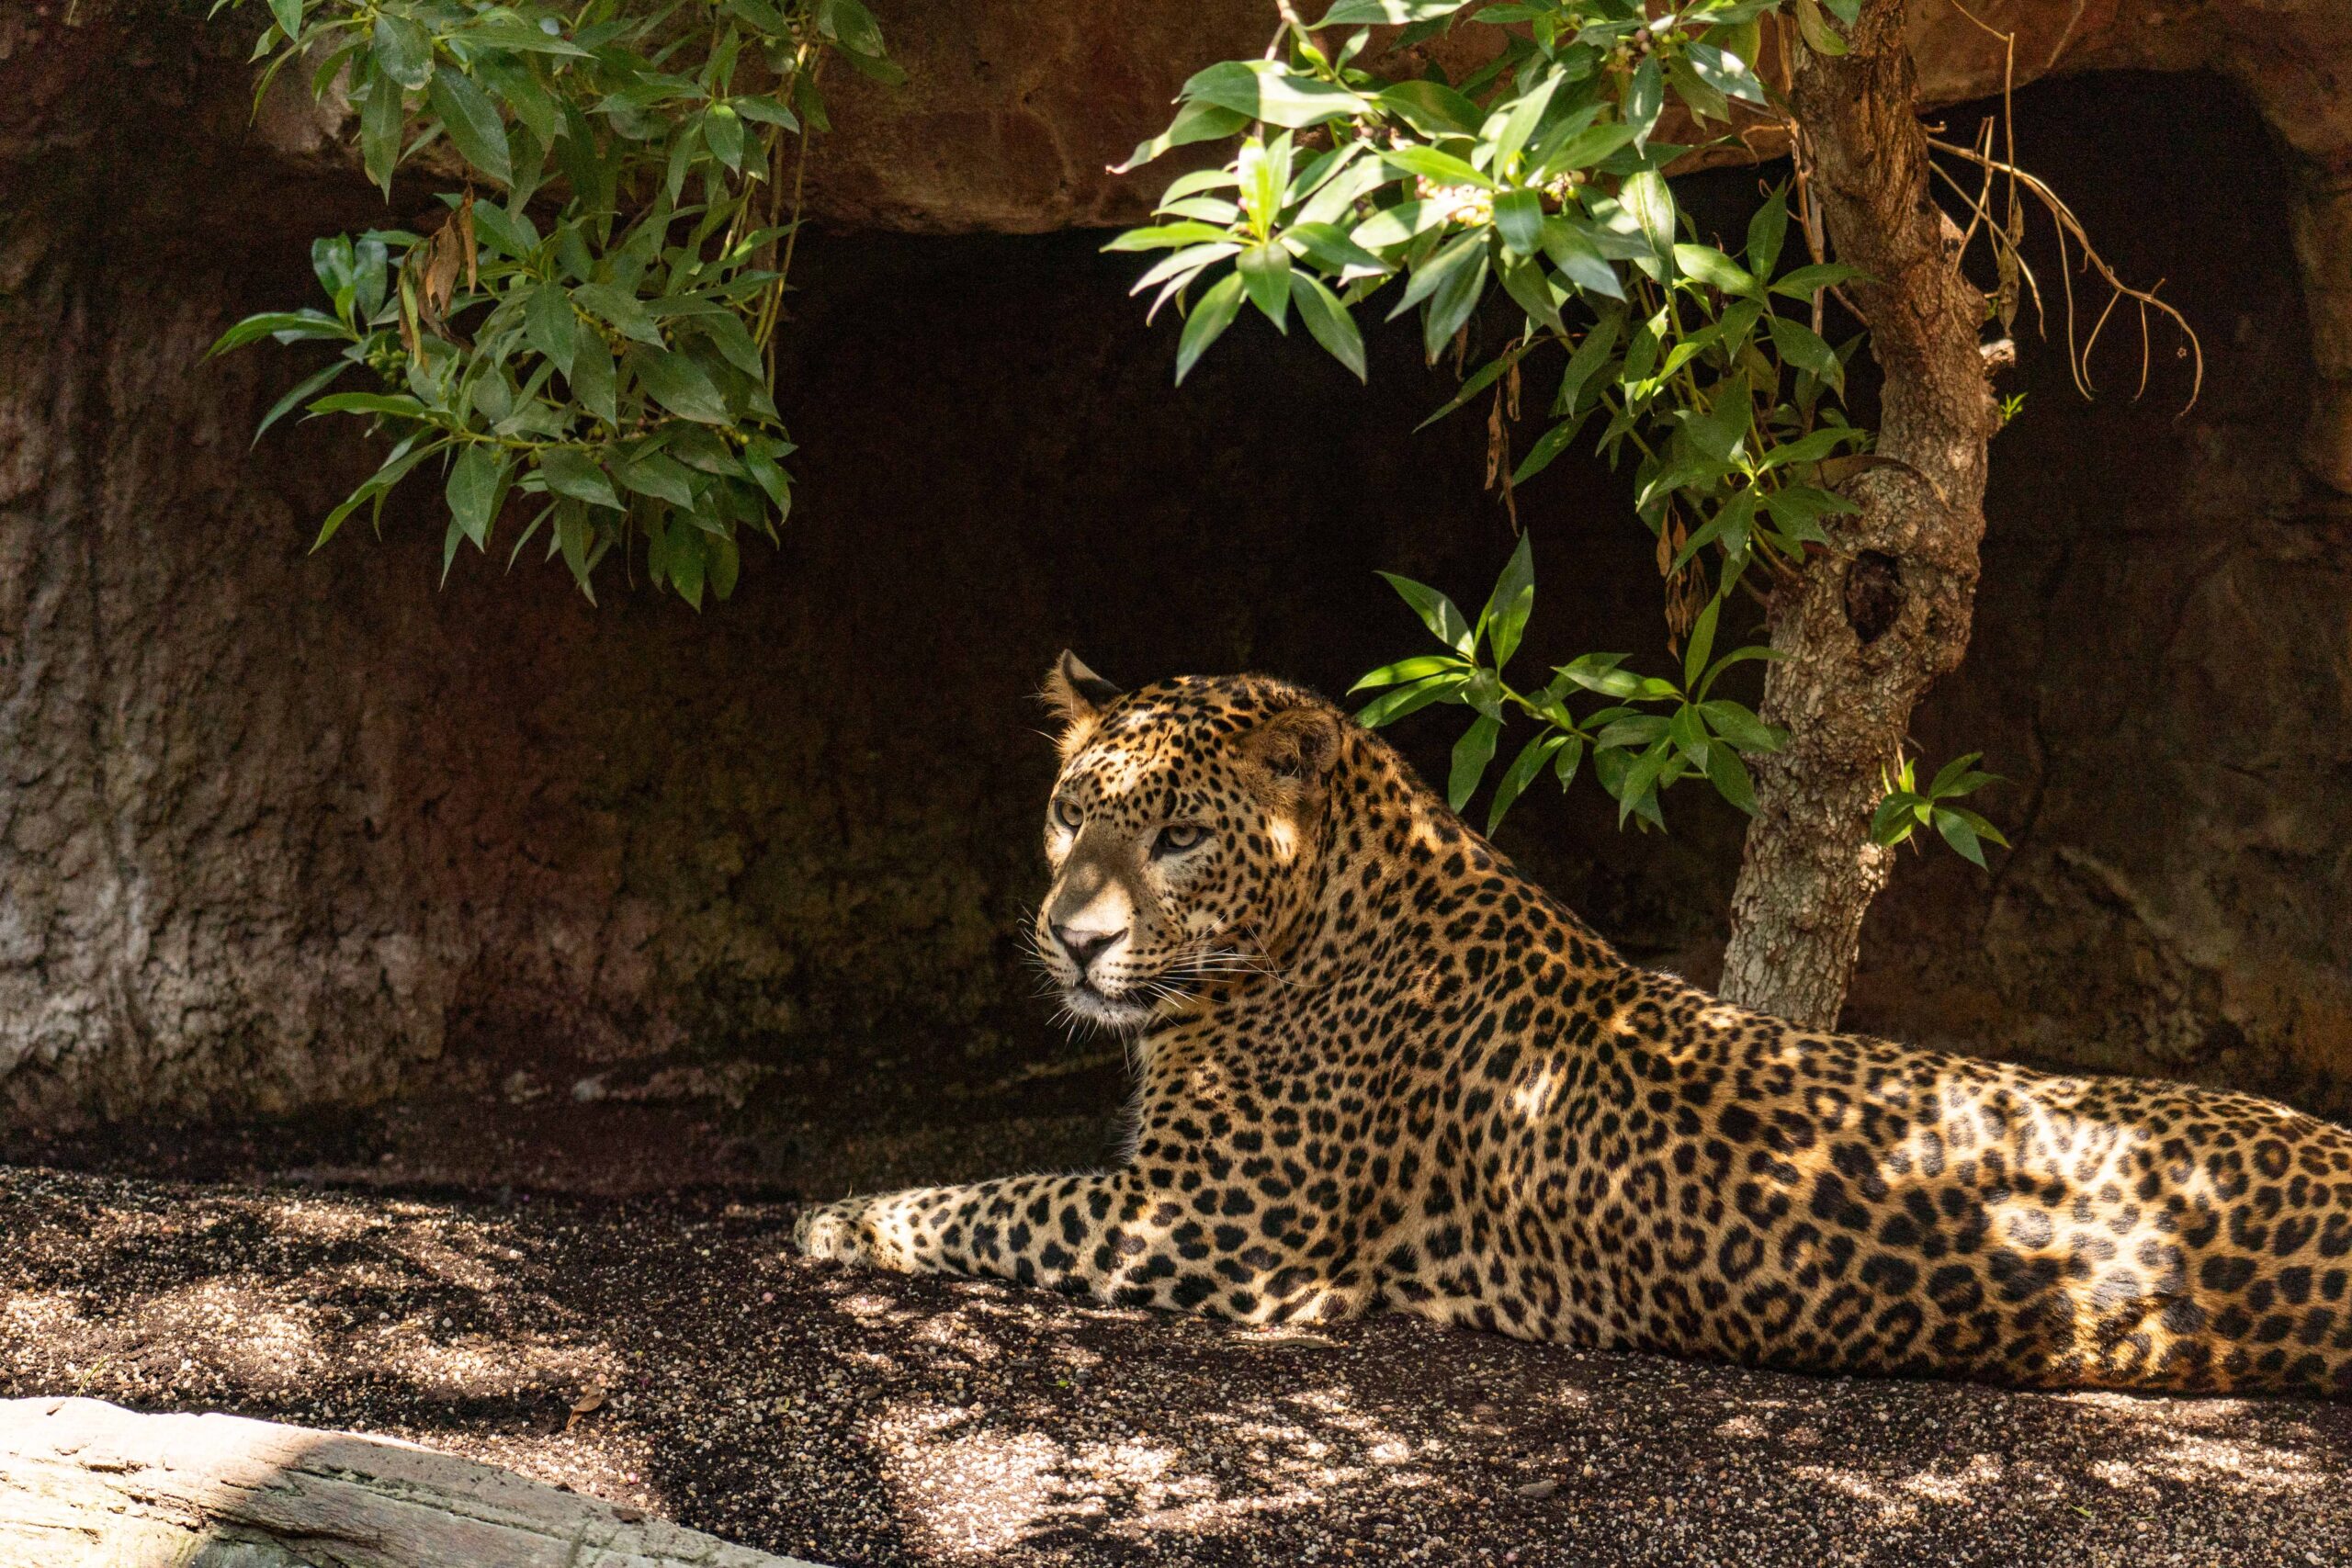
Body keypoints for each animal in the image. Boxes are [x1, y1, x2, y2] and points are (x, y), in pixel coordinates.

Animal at [799, 653, 2352, 1401]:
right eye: (1072, 811)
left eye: (1178, 836)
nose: (1074, 934)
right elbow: (1006, 1186)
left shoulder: (1211, 1223)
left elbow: (993, 1198)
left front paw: (833, 1217)